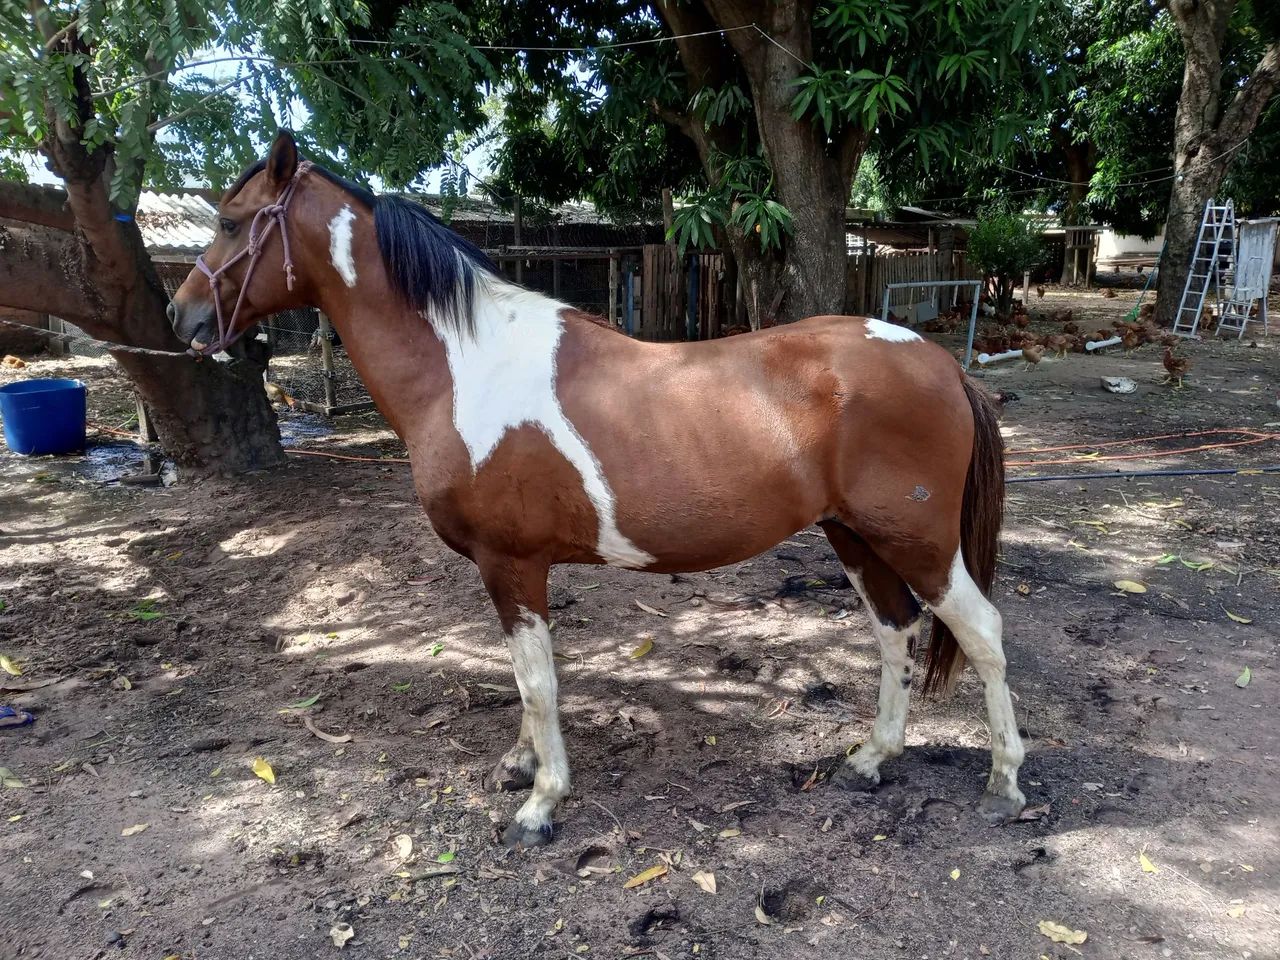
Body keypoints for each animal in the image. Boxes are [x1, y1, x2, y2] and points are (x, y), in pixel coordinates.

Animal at [169, 131, 1025, 848]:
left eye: (231, 223)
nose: (183, 317)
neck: (464, 368)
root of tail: (940, 364)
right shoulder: (509, 572)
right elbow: (524, 679)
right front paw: (520, 766)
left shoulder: (511, 564)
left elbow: (538, 682)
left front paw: (542, 801)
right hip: (855, 536)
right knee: (894, 630)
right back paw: (873, 757)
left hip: (916, 542)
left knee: (982, 632)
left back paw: (1005, 783)